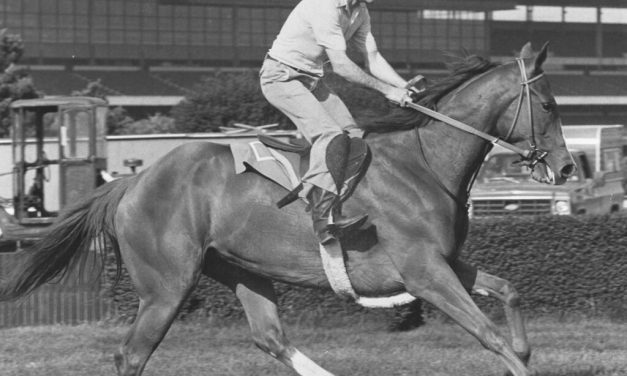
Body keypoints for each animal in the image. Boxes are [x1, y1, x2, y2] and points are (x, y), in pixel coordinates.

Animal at [2, 44, 576, 376]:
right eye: (549, 105)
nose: (567, 167)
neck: (425, 163)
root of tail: (133, 180)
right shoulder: (425, 272)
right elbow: (489, 335)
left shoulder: (447, 262)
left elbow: (509, 292)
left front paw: (525, 347)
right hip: (166, 287)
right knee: (132, 354)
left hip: (241, 268)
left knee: (269, 337)